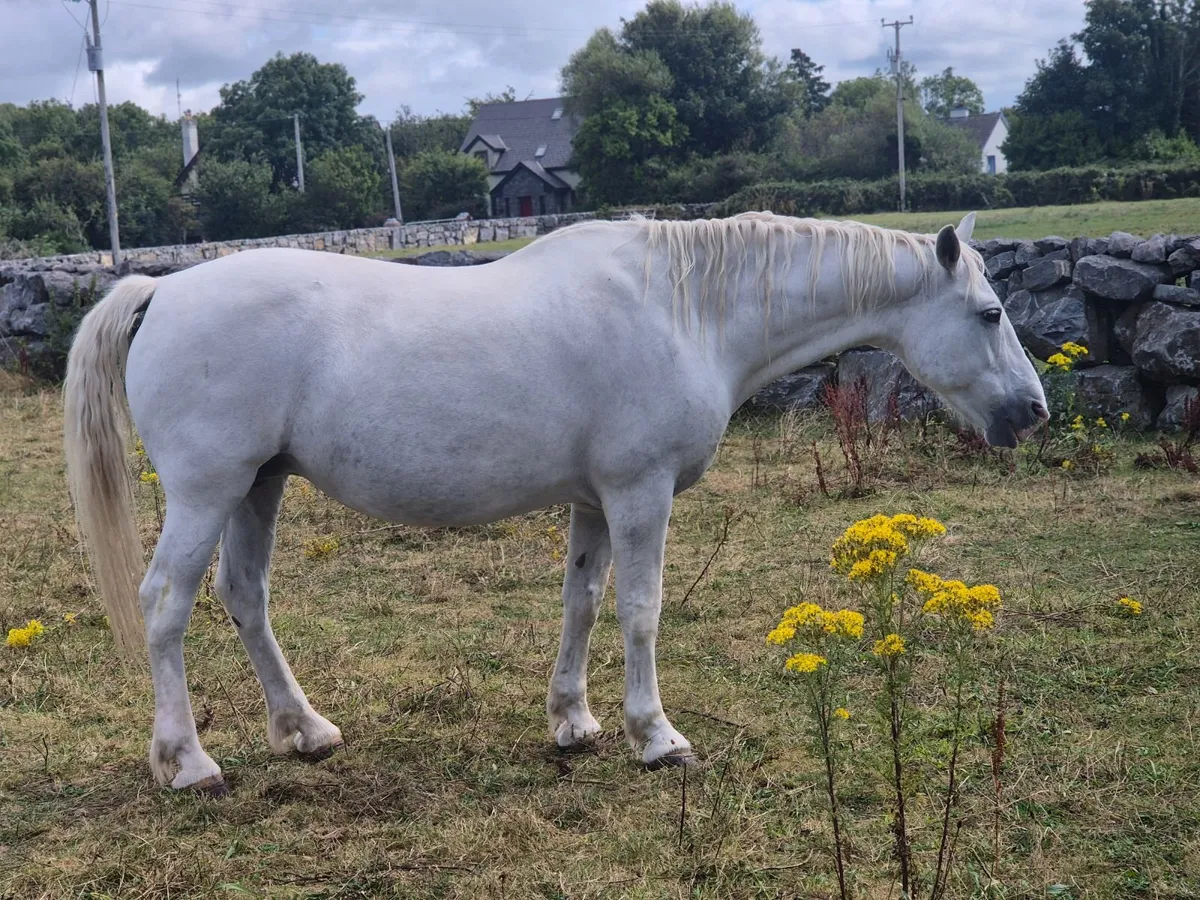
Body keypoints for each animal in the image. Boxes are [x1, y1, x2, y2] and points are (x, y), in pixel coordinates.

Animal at [63, 212, 1048, 795]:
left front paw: (573, 721)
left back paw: (303, 731)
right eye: (991, 314)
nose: (1032, 412)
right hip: (208, 491)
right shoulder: (640, 493)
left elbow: (582, 600)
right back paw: (188, 762)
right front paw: (657, 735)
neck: (682, 311)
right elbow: (642, 609)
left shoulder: (594, 501)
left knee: (245, 597)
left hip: (256, 488)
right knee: (165, 606)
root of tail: (161, 289)